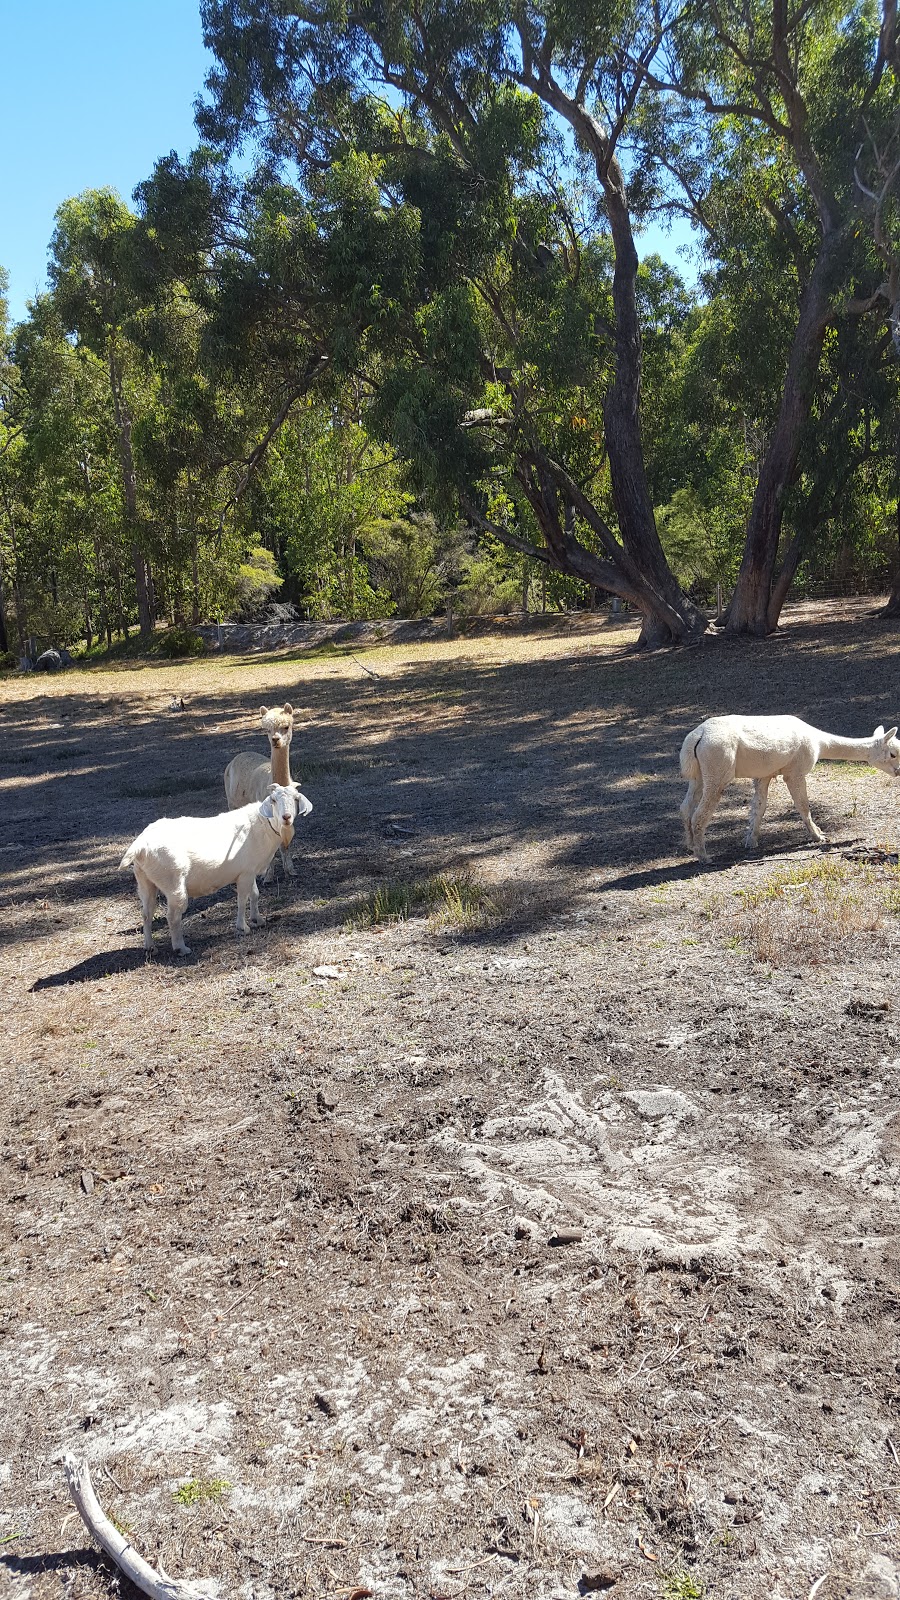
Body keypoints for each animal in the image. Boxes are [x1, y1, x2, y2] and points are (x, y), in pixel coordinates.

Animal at [120, 784, 312, 953]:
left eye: (296, 798)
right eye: (273, 800)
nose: (286, 817)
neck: (264, 825)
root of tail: (141, 845)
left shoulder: (249, 870)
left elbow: (255, 894)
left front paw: (257, 919)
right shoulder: (245, 874)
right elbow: (242, 899)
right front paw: (243, 927)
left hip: (145, 881)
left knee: (147, 913)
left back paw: (150, 947)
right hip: (173, 882)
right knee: (173, 916)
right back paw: (181, 948)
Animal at [222, 704, 296, 883]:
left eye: (286, 726)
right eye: (267, 729)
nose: (275, 740)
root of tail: (237, 757)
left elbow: (285, 842)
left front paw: (290, 871)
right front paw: (268, 876)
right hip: (231, 801)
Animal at [679, 716, 896, 864]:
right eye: (893, 753)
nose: (898, 771)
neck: (818, 742)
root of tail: (696, 736)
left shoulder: (765, 774)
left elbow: (758, 808)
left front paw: (751, 841)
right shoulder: (795, 771)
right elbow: (803, 805)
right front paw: (818, 836)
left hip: (699, 775)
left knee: (686, 807)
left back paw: (690, 846)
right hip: (717, 769)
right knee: (699, 814)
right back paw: (704, 856)